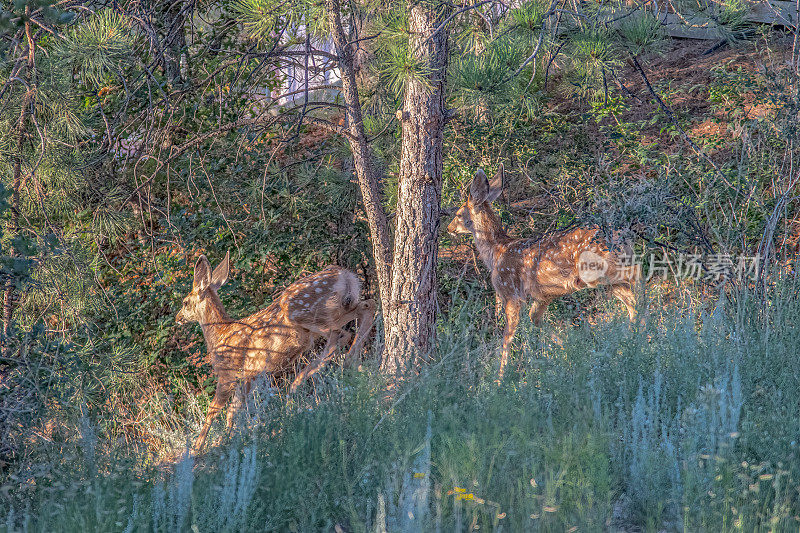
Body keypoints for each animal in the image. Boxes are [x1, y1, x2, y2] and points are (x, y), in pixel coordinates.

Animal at [175, 251, 376, 450]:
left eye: (185, 302)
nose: (178, 318)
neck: (220, 334)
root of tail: (344, 275)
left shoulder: (227, 373)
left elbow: (214, 409)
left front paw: (197, 447)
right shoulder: (248, 377)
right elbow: (233, 411)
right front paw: (225, 440)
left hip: (303, 313)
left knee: (339, 334)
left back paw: (301, 379)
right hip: (340, 308)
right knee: (367, 307)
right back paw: (355, 365)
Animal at [446, 166, 640, 378]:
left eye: (458, 214)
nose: (448, 228)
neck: (496, 252)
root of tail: (624, 235)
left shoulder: (510, 292)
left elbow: (508, 335)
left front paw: (501, 376)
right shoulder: (542, 296)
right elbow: (535, 319)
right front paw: (567, 349)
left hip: (599, 270)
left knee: (636, 280)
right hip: (609, 278)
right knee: (631, 300)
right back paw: (634, 337)